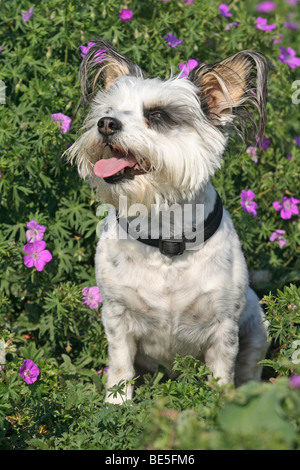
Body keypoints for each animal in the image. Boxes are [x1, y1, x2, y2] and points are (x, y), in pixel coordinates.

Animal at [68, 39, 270, 404]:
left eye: (157, 115)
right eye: (108, 110)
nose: (106, 123)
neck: (166, 237)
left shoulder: (224, 328)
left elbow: (222, 374)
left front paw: (218, 407)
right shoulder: (116, 316)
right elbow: (120, 367)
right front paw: (116, 405)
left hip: (258, 327)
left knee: (249, 368)